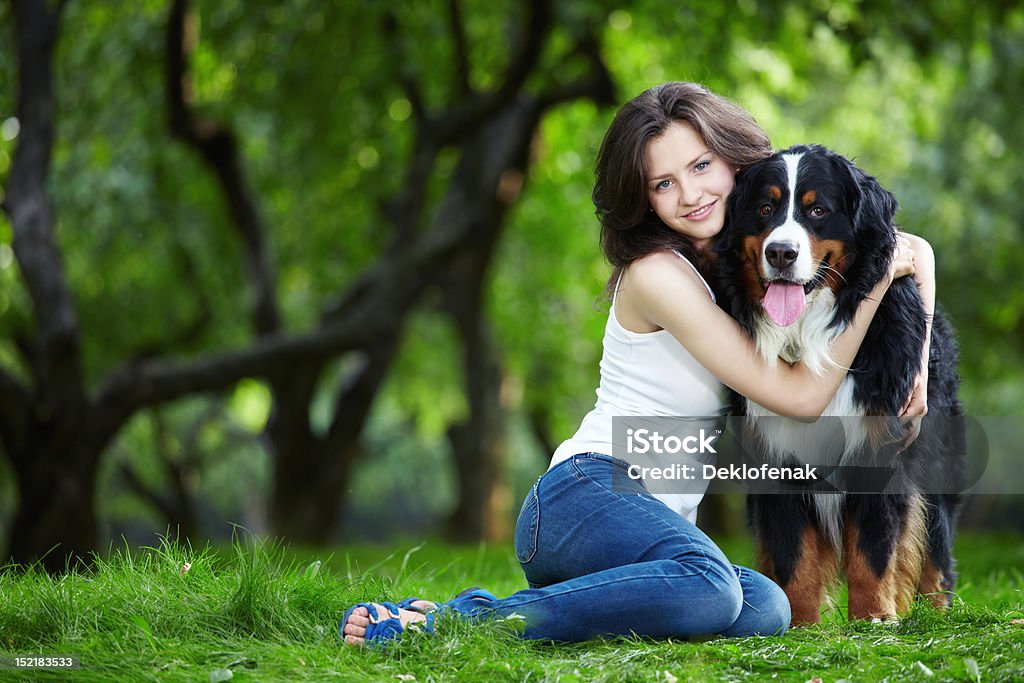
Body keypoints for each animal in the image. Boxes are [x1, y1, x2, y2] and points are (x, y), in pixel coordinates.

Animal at [712, 144, 966, 626]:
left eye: (818, 210)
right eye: (765, 208)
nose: (781, 253)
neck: (809, 334)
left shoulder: (881, 440)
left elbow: (873, 548)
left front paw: (874, 617)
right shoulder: (776, 451)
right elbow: (793, 551)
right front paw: (801, 623)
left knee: (936, 546)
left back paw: (936, 612)